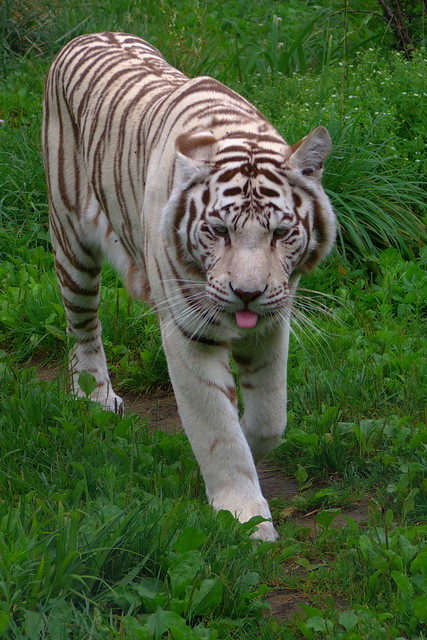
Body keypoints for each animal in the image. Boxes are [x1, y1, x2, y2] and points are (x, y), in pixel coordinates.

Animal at [43, 31, 338, 540]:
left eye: (281, 233)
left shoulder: (272, 321)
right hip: (72, 243)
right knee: (81, 325)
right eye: (219, 231)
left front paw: (252, 444)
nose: (247, 293)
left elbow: (270, 417)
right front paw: (244, 519)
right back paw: (95, 395)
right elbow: (218, 431)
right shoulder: (189, 332)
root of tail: (84, 35)